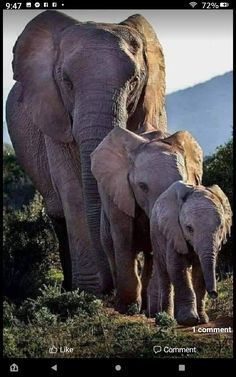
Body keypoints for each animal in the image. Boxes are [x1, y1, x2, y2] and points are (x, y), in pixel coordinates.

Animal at [6, 8, 166, 290]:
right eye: (66, 82)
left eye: (135, 81)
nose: (111, 283)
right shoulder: (54, 116)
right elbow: (72, 189)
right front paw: (90, 290)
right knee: (58, 215)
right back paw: (70, 288)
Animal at [90, 125, 203, 312]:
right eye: (142, 187)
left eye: (182, 183)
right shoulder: (118, 191)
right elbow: (123, 238)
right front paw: (127, 309)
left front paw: (154, 311)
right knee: (112, 249)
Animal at [149, 179, 232, 324]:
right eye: (189, 228)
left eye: (221, 227)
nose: (214, 294)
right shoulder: (174, 232)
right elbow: (177, 268)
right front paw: (189, 320)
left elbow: (200, 272)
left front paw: (203, 319)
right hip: (155, 238)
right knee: (164, 275)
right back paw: (165, 319)